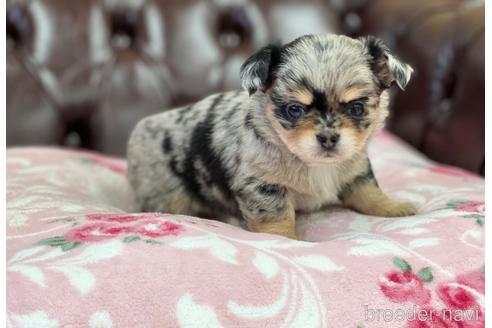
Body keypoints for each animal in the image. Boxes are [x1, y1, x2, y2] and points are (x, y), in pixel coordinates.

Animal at [127, 34, 416, 238]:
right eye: (294, 109)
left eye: (356, 108)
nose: (328, 138)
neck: (312, 163)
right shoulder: (261, 184)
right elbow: (276, 216)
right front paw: (286, 239)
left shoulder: (356, 168)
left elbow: (369, 191)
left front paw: (393, 208)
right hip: (169, 194)